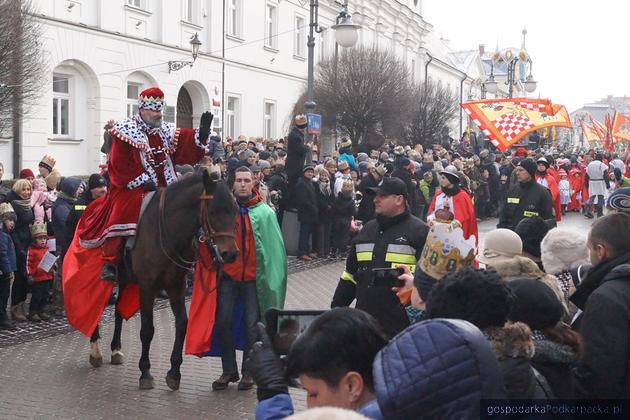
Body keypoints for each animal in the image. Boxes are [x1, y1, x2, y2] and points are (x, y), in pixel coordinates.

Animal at [87, 170, 238, 390]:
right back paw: (95, 352)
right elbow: (147, 330)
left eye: (235, 210)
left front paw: (174, 372)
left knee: (117, 312)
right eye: (213, 212)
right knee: (94, 310)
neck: (166, 229)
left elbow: (182, 324)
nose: (230, 254)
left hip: (125, 280)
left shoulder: (176, 286)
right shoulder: (147, 287)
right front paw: (145, 372)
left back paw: (115, 349)